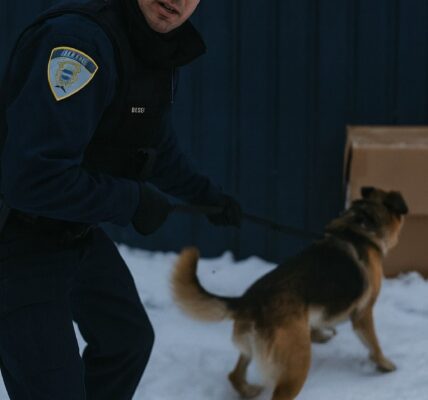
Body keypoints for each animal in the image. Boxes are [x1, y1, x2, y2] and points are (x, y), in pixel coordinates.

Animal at [171, 187, 408, 400]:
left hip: (250, 348)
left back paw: (248, 391)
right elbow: (374, 344)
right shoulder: (363, 314)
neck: (360, 226)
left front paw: (321, 335)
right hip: (297, 366)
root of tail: (249, 300)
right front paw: (384, 364)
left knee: (234, 375)